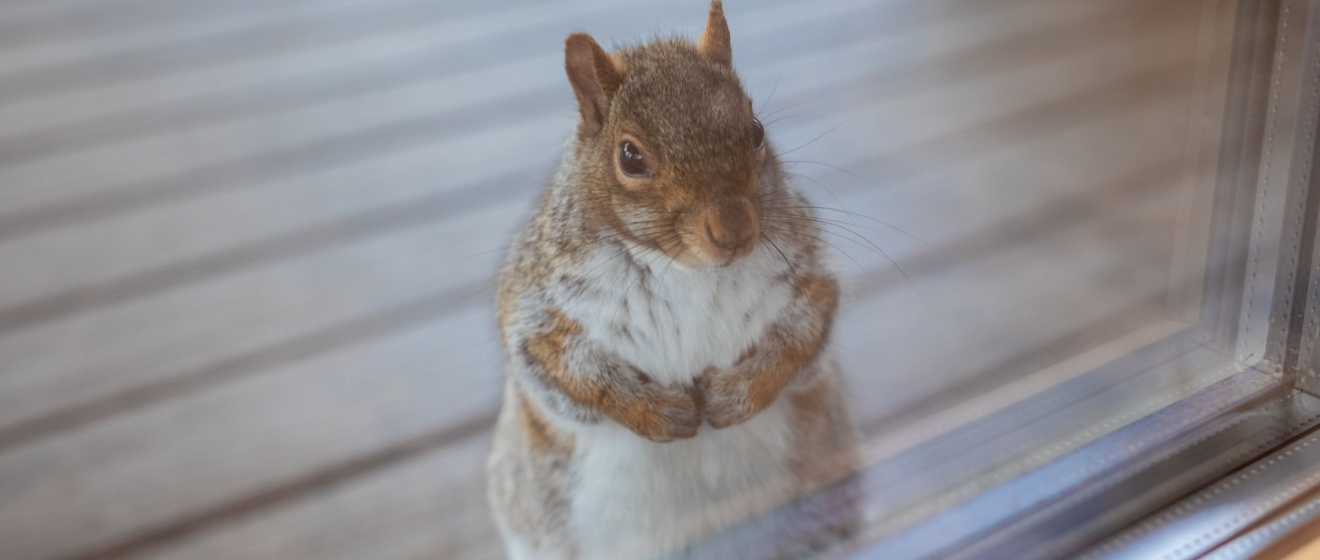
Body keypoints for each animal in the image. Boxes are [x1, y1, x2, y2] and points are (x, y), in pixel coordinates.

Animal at [486, 2, 860, 558]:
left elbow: (801, 339)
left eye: (755, 129)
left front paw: (735, 395)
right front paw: (657, 412)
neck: (688, 270)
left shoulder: (806, 272)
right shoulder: (538, 308)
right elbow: (567, 374)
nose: (735, 231)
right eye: (630, 156)